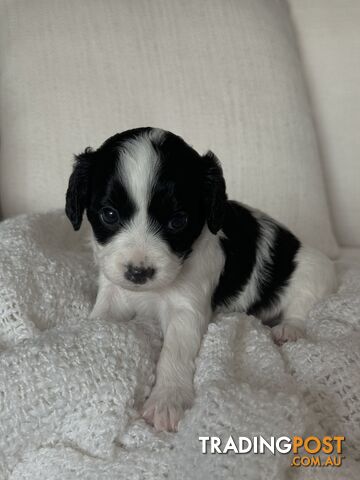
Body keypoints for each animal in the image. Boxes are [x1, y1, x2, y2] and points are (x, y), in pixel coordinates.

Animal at [65, 126, 338, 432]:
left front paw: (167, 399)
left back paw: (289, 329)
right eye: (109, 215)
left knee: (301, 304)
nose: (138, 273)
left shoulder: (187, 309)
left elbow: (174, 351)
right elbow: (103, 316)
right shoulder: (114, 288)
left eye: (177, 222)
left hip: (311, 270)